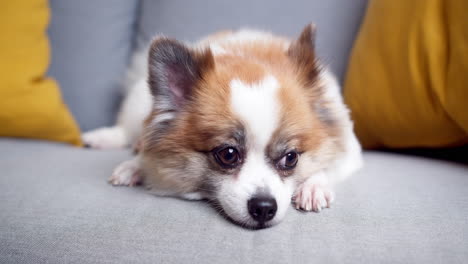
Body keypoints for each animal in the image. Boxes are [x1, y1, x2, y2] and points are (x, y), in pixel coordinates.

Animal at [83, 23, 362, 228]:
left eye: (291, 158)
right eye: (228, 154)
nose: (264, 208)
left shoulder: (349, 148)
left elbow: (329, 164)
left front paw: (313, 186)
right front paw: (135, 165)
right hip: (140, 101)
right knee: (129, 129)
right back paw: (105, 140)